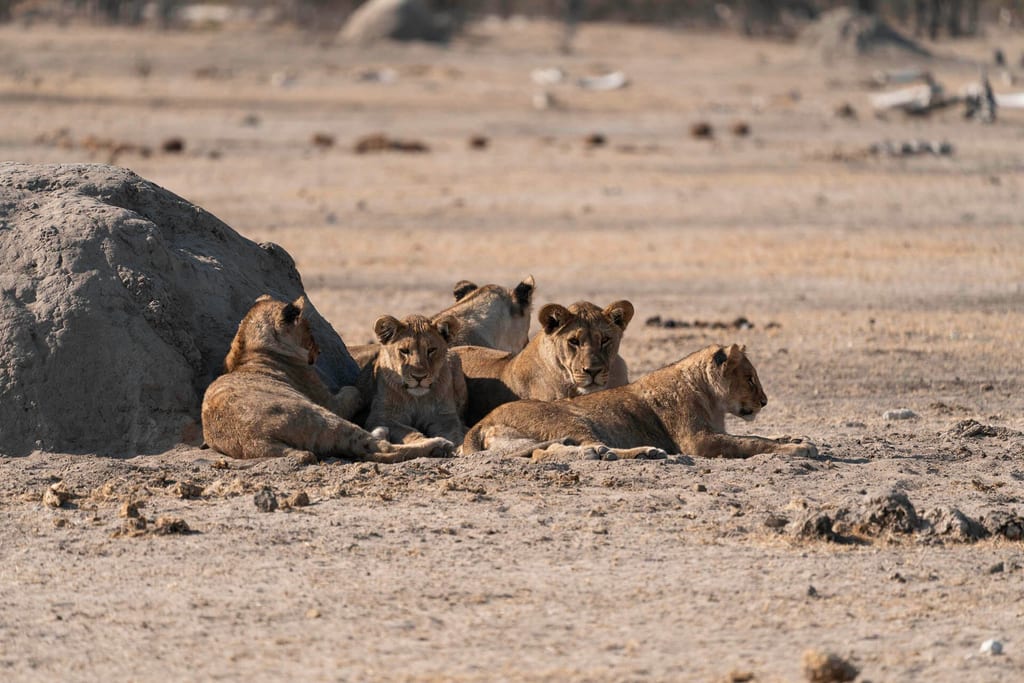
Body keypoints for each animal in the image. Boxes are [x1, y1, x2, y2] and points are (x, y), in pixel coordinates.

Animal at [201, 295, 452, 463]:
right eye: (308, 330)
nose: (319, 351)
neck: (249, 348)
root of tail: (255, 440)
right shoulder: (329, 402)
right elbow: (353, 391)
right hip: (323, 417)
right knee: (377, 450)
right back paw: (437, 445)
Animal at [358, 313, 467, 449]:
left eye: (431, 350)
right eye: (404, 351)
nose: (419, 377)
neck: (417, 399)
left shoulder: (444, 416)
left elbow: (454, 433)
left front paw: (460, 447)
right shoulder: (381, 418)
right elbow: (409, 431)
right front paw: (432, 443)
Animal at [461, 343, 818, 461]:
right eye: (750, 378)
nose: (765, 402)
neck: (710, 397)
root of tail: (481, 423)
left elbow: (756, 435)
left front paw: (797, 437)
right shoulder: (698, 441)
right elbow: (750, 442)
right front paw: (797, 449)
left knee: (542, 451)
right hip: (571, 419)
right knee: (570, 448)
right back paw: (638, 452)